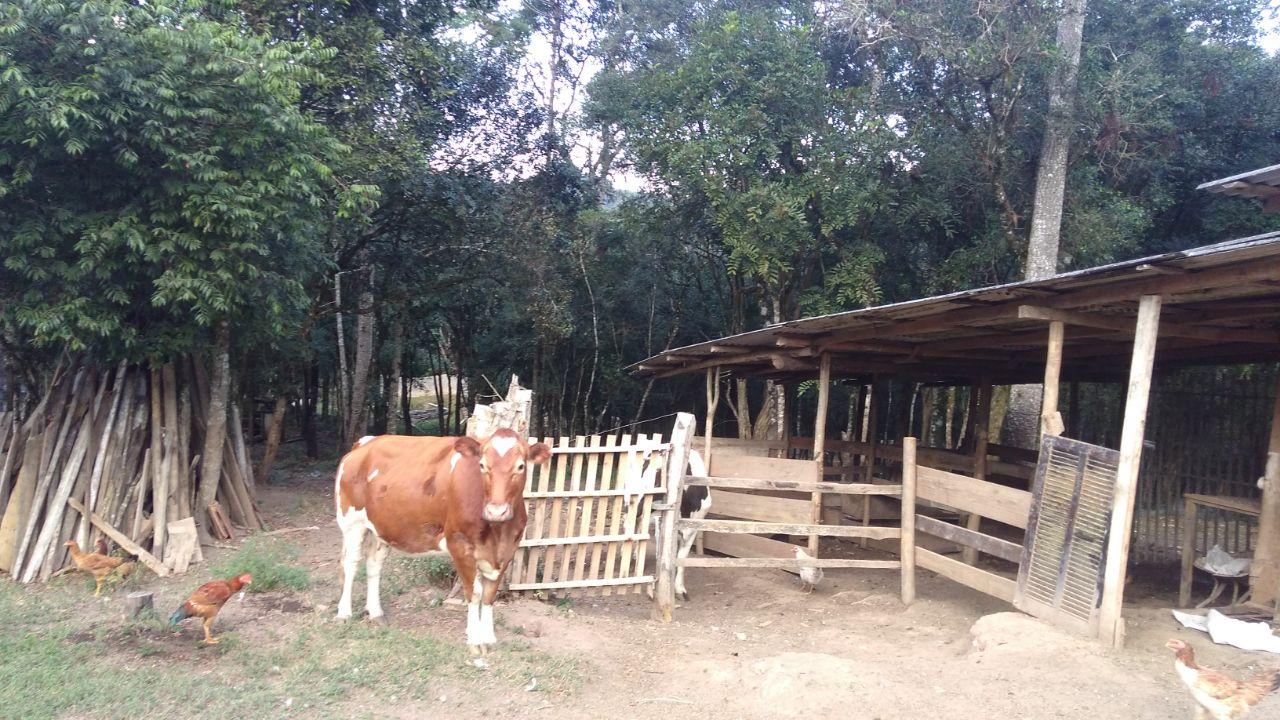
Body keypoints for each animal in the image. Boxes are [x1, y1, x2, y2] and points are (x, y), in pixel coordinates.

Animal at [335, 427, 550, 653]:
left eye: (521, 466)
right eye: (482, 465)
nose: (496, 511)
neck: (497, 533)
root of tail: (366, 443)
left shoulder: (508, 550)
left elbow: (490, 594)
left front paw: (489, 637)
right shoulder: (459, 545)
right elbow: (473, 593)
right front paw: (475, 640)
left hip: (381, 528)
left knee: (373, 565)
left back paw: (376, 613)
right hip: (352, 522)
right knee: (350, 564)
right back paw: (344, 613)